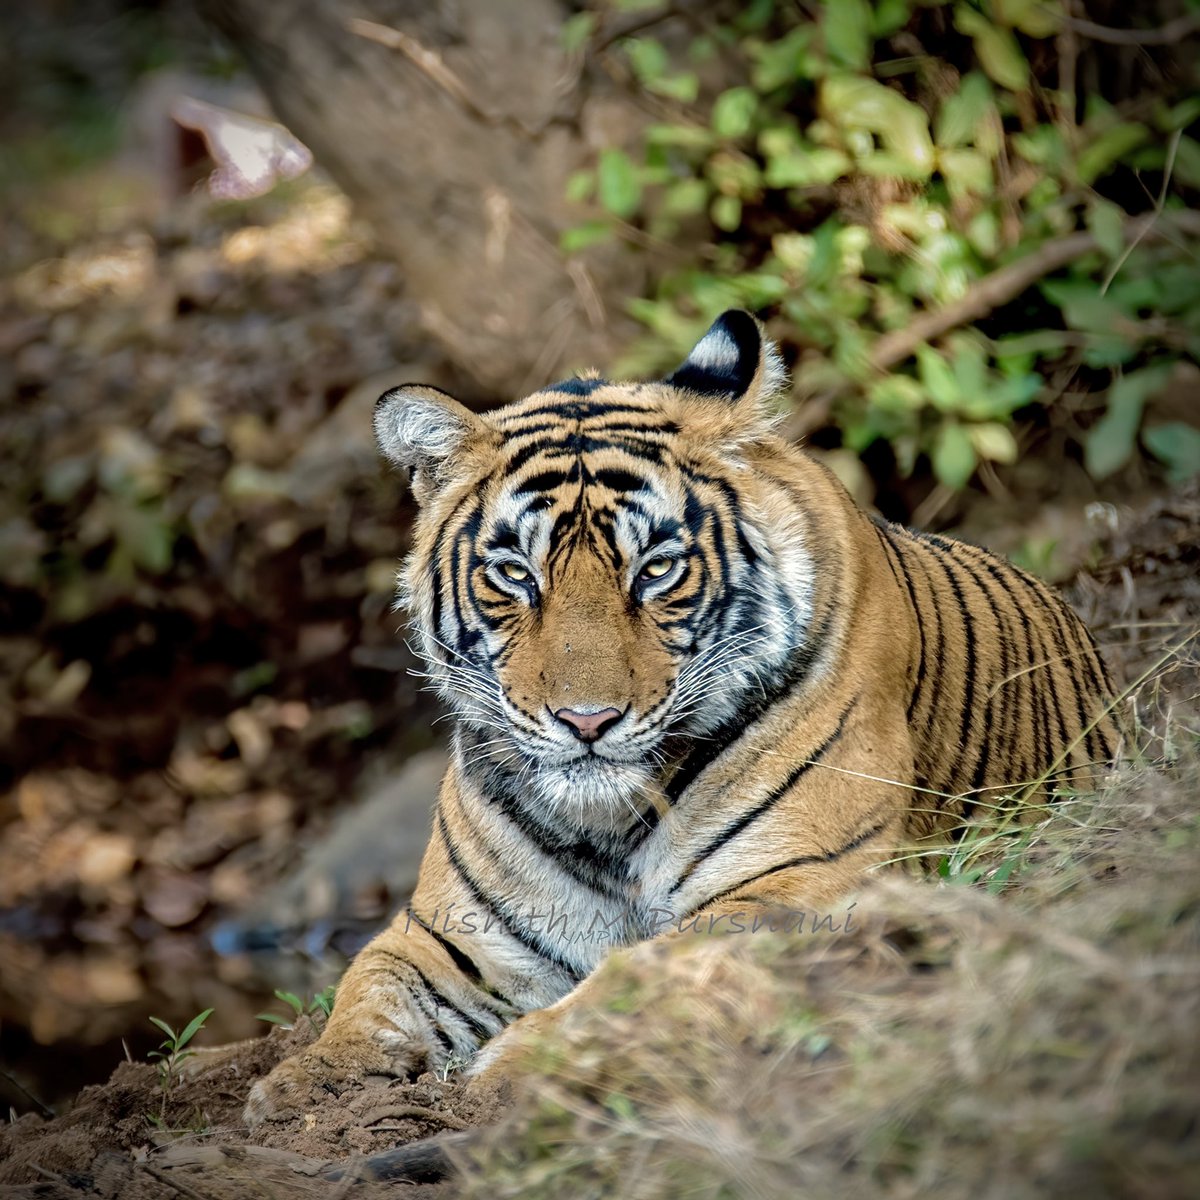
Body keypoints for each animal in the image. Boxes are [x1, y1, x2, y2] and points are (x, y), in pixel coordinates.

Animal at [241, 309, 1113, 1123]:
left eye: (656, 569)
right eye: (516, 574)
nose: (586, 720)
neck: (608, 827)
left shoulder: (798, 883)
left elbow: (638, 972)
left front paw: (522, 1067)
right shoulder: (446, 935)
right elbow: (370, 989)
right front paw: (305, 1086)